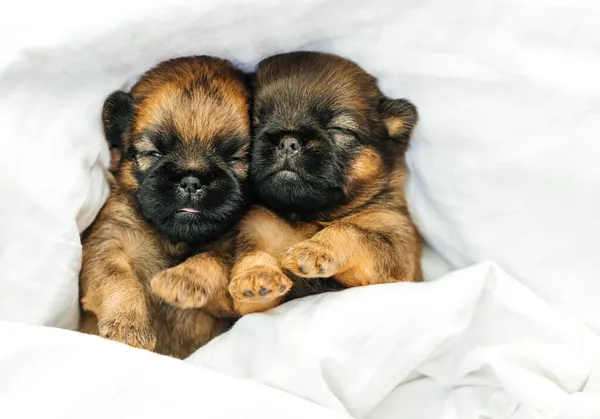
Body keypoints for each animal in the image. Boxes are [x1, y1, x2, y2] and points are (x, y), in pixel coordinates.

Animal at [79, 55, 248, 358]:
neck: (173, 239)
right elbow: (117, 278)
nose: (192, 180)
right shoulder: (106, 242)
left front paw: (179, 281)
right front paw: (128, 328)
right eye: (154, 153)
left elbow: (214, 261)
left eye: (235, 158)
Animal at [229, 51, 422, 316]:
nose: (288, 141)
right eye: (256, 122)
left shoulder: (397, 250)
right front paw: (255, 273)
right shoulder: (255, 233)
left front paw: (314, 249)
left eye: (338, 128)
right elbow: (252, 255)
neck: (307, 216)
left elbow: (349, 230)